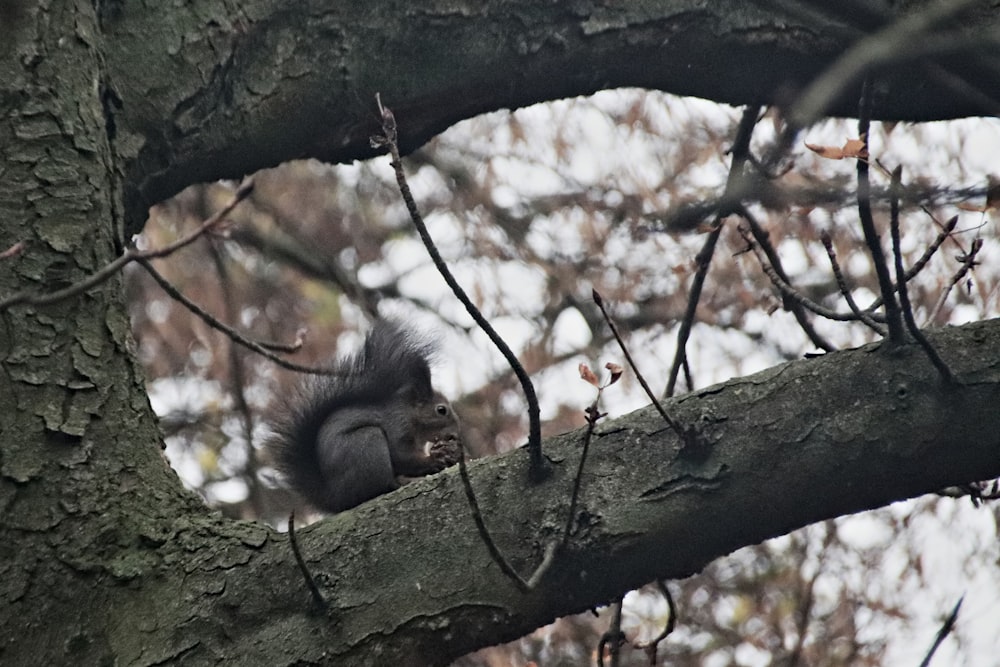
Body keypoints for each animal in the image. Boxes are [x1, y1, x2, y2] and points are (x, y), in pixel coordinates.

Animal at [270, 320, 464, 516]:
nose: (455, 435)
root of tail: (336, 498)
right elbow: (401, 455)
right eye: (441, 410)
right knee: (377, 487)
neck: (412, 417)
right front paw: (435, 458)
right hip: (367, 442)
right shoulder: (397, 425)